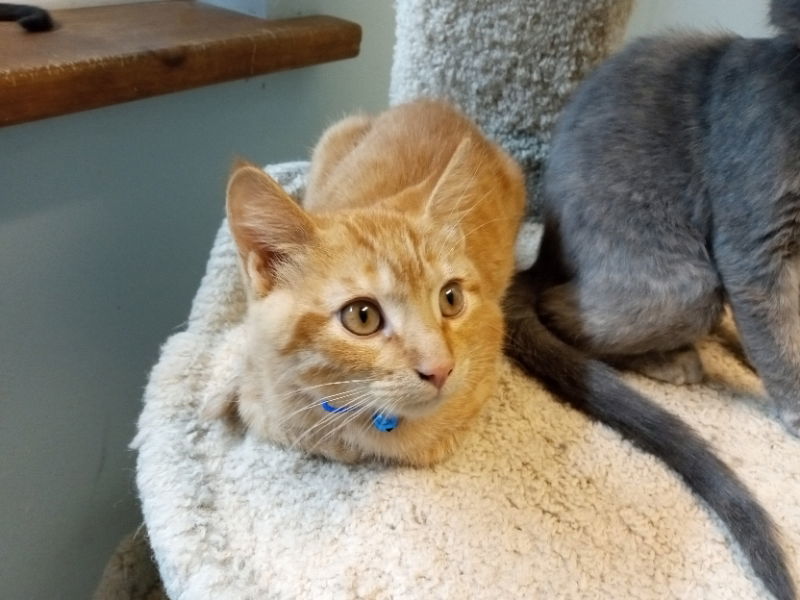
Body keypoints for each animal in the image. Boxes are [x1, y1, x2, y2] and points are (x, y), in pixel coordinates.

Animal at [506, 1, 800, 600]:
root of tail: (544, 251)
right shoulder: (757, 242)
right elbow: (784, 346)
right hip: (684, 278)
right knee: (559, 308)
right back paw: (676, 361)